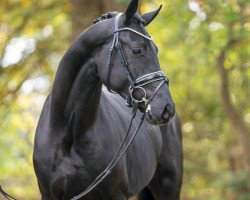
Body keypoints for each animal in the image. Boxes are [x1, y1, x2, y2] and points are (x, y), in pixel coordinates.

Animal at [32, 0, 182, 199]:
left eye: (156, 50)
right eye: (136, 51)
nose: (166, 108)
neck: (68, 133)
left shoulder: (116, 195)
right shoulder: (50, 195)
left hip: (168, 187)